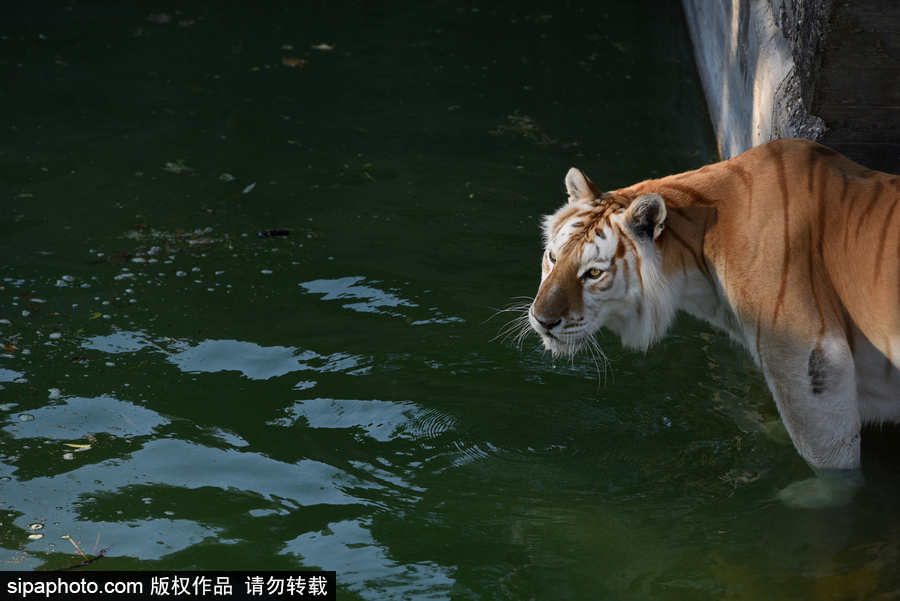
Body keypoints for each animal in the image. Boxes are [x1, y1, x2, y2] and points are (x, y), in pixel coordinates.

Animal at [526, 138, 900, 505]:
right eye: (553, 257)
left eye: (593, 273)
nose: (542, 320)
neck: (699, 251)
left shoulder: (808, 352)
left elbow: (830, 459)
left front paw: (816, 496)